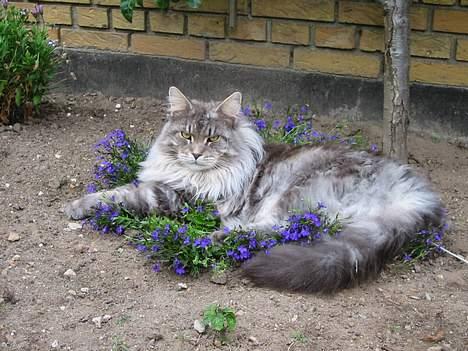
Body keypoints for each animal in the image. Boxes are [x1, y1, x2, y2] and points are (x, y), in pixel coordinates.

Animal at [65, 87, 442, 294]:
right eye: (186, 135)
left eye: (212, 139)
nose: (196, 154)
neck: (197, 175)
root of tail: (414, 191)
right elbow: (123, 187)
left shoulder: (178, 198)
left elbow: (123, 194)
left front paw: (77, 205)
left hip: (294, 193)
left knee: (275, 232)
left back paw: (214, 237)